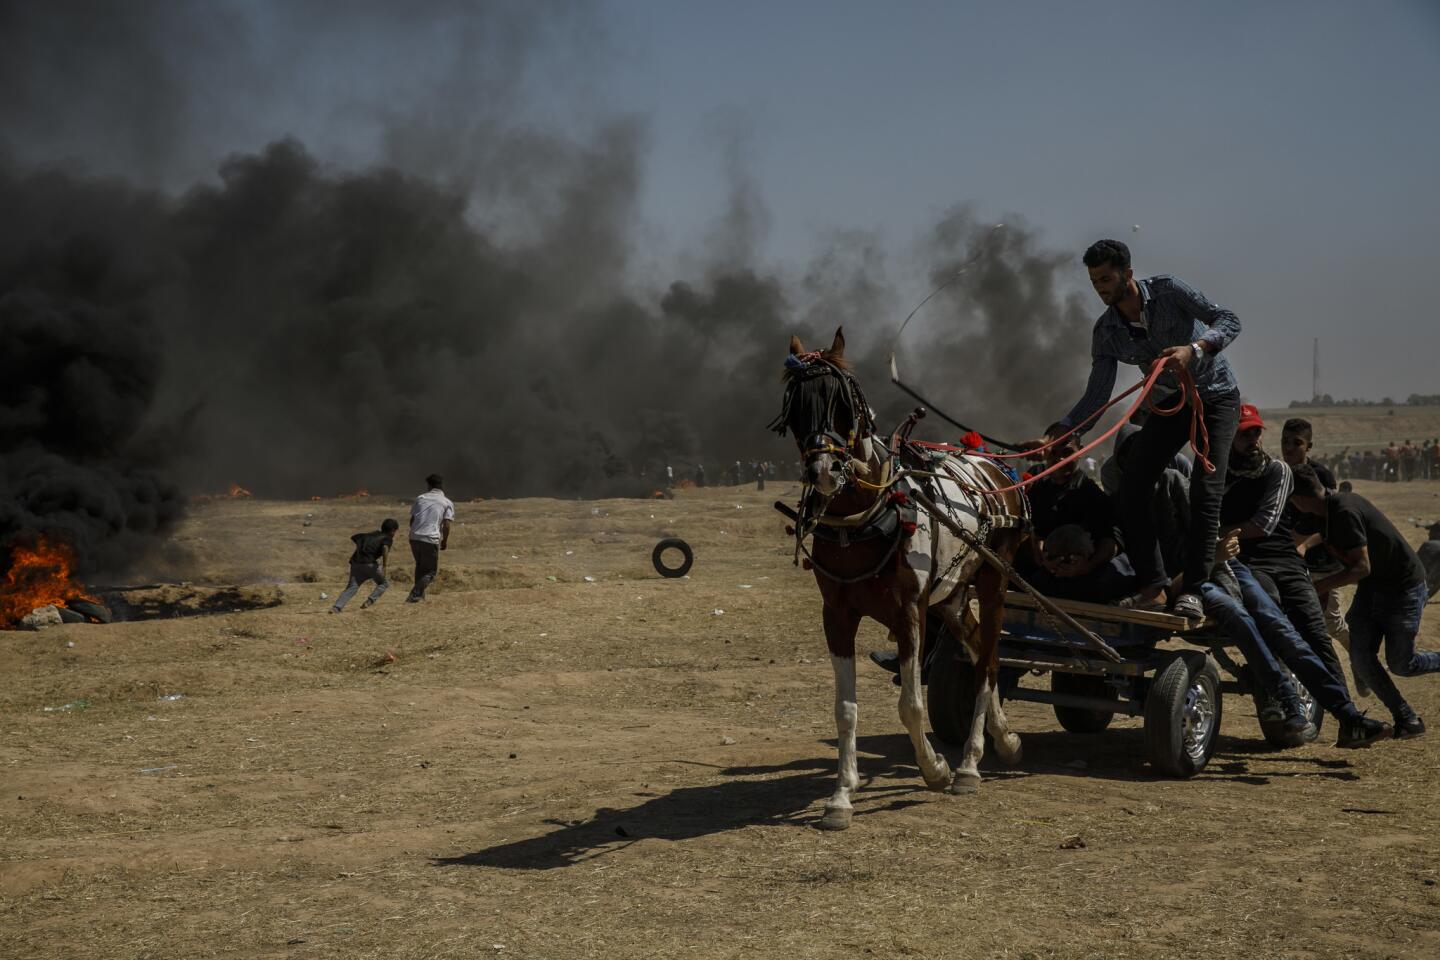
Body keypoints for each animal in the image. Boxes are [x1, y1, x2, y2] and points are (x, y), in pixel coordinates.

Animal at [771, 326, 1031, 829]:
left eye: (843, 405)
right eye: (795, 411)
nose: (824, 472)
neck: (866, 517)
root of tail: (994, 465)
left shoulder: (911, 609)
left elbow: (910, 704)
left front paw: (936, 768)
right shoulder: (837, 614)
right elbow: (845, 710)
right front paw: (841, 795)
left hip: (994, 582)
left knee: (988, 663)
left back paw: (970, 764)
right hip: (950, 597)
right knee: (977, 652)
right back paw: (1004, 739)